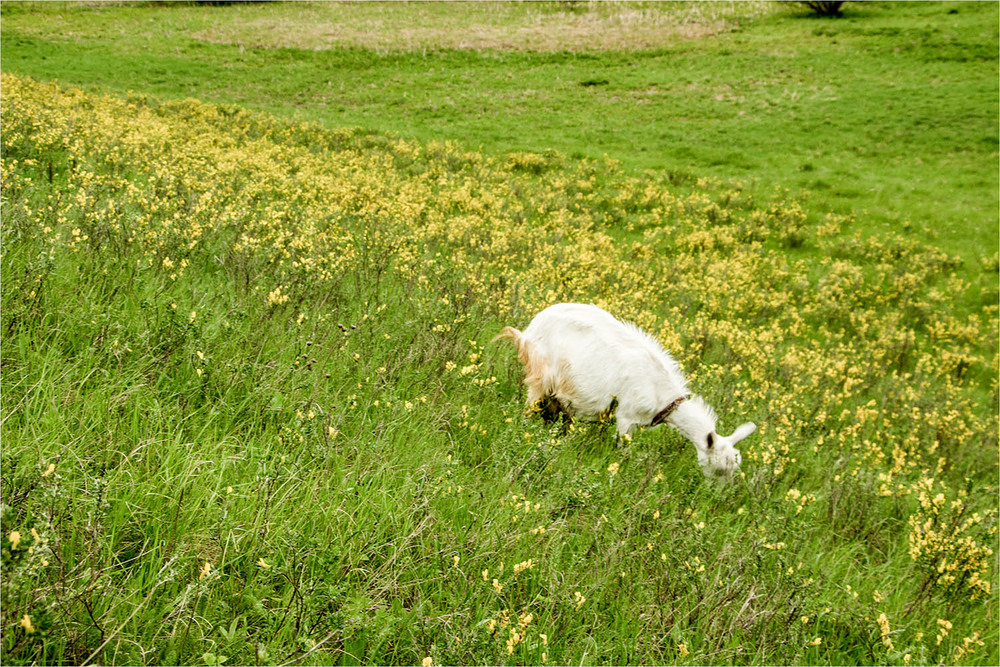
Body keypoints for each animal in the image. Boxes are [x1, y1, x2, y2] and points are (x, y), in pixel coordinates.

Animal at [496, 306, 752, 478]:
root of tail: (528, 331)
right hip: (540, 376)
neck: (661, 391)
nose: (714, 496)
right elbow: (623, 449)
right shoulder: (626, 416)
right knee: (530, 409)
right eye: (718, 469)